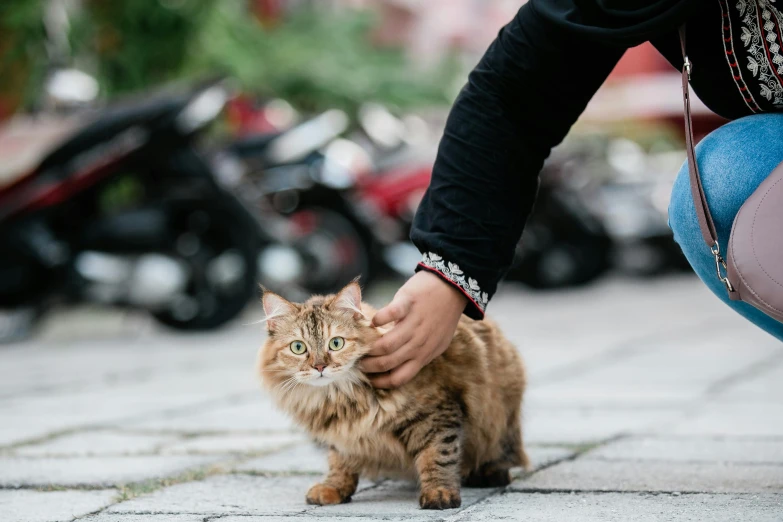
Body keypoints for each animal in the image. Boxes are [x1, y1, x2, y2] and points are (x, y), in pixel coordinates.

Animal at [256, 280, 528, 508]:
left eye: (336, 343)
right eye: (298, 347)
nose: (320, 366)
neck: (340, 399)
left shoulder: (437, 415)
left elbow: (438, 456)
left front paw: (439, 494)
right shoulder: (341, 434)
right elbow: (339, 462)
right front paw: (333, 488)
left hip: (499, 423)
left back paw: (488, 474)